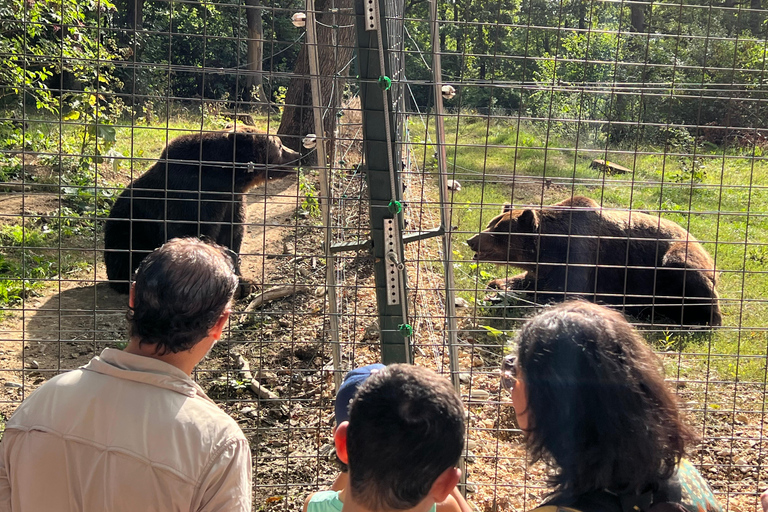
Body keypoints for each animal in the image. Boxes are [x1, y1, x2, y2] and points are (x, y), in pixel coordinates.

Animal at [104, 126, 300, 292]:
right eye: (279, 144)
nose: (297, 154)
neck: (226, 180)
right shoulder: (191, 198)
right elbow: (192, 233)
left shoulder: (232, 203)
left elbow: (232, 235)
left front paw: (247, 283)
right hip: (127, 231)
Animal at [464, 196, 724, 328]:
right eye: (490, 223)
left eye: (498, 231)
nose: (471, 240)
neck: (550, 247)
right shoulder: (545, 267)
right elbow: (527, 280)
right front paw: (497, 285)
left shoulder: (581, 259)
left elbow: (555, 292)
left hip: (674, 260)